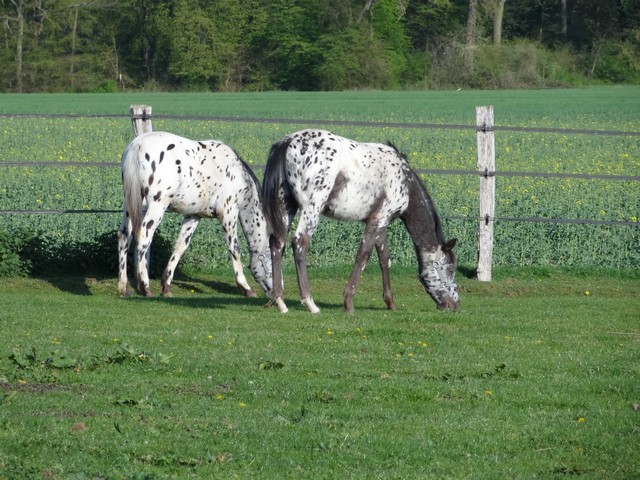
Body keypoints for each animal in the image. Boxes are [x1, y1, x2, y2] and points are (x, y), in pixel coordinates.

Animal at [117, 131, 273, 299]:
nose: (275, 292)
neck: (237, 174)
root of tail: (136, 146)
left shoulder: (193, 216)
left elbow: (180, 247)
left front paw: (166, 287)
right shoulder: (228, 214)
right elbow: (234, 249)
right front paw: (246, 288)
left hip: (132, 206)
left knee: (124, 236)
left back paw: (123, 288)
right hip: (156, 206)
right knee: (144, 238)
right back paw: (145, 287)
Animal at [262, 128, 458, 314]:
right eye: (450, 269)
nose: (454, 305)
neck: (405, 182)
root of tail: (288, 141)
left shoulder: (379, 222)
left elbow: (384, 259)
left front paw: (390, 303)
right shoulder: (378, 221)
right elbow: (363, 256)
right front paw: (349, 303)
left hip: (286, 207)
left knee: (277, 244)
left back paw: (280, 302)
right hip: (311, 209)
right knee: (299, 244)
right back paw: (310, 303)